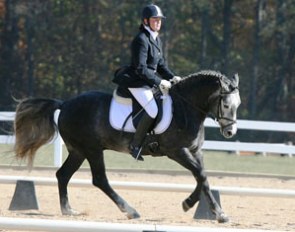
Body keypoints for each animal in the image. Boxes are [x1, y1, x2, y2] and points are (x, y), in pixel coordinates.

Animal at [13, 70, 240, 223]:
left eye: (237, 105)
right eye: (226, 104)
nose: (230, 132)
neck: (185, 108)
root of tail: (65, 104)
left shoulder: (195, 151)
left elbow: (203, 177)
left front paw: (218, 213)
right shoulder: (177, 151)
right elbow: (200, 175)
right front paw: (191, 204)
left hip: (78, 151)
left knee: (63, 174)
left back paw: (68, 210)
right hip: (92, 150)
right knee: (99, 179)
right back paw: (130, 210)